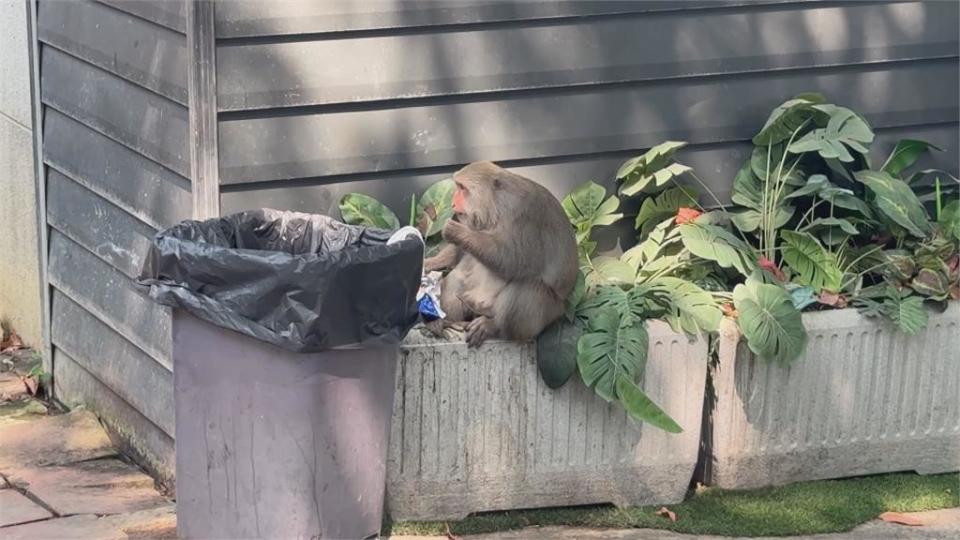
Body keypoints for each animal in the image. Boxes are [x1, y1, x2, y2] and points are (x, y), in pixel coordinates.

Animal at [428, 161, 576, 346]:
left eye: (462, 188)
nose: (453, 204)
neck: (497, 206)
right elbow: (463, 252)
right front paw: (433, 261)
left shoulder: (524, 215)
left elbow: (513, 261)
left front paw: (457, 232)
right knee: (458, 278)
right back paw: (445, 320)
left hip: (550, 312)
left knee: (529, 288)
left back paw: (494, 327)